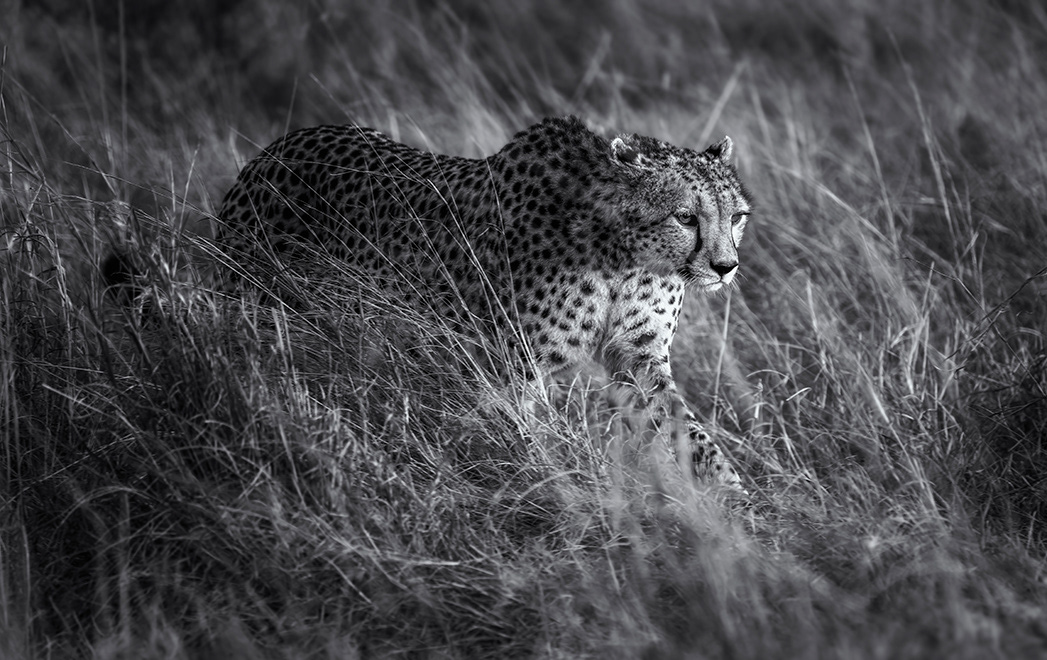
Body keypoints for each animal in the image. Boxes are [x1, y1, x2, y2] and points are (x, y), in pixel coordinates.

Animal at [212, 115, 753, 491]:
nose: (726, 267)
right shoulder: (512, 367)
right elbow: (522, 436)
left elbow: (682, 423)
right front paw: (553, 483)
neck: (622, 252)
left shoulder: (637, 354)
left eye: (738, 217)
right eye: (685, 217)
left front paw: (733, 498)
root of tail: (273, 149)